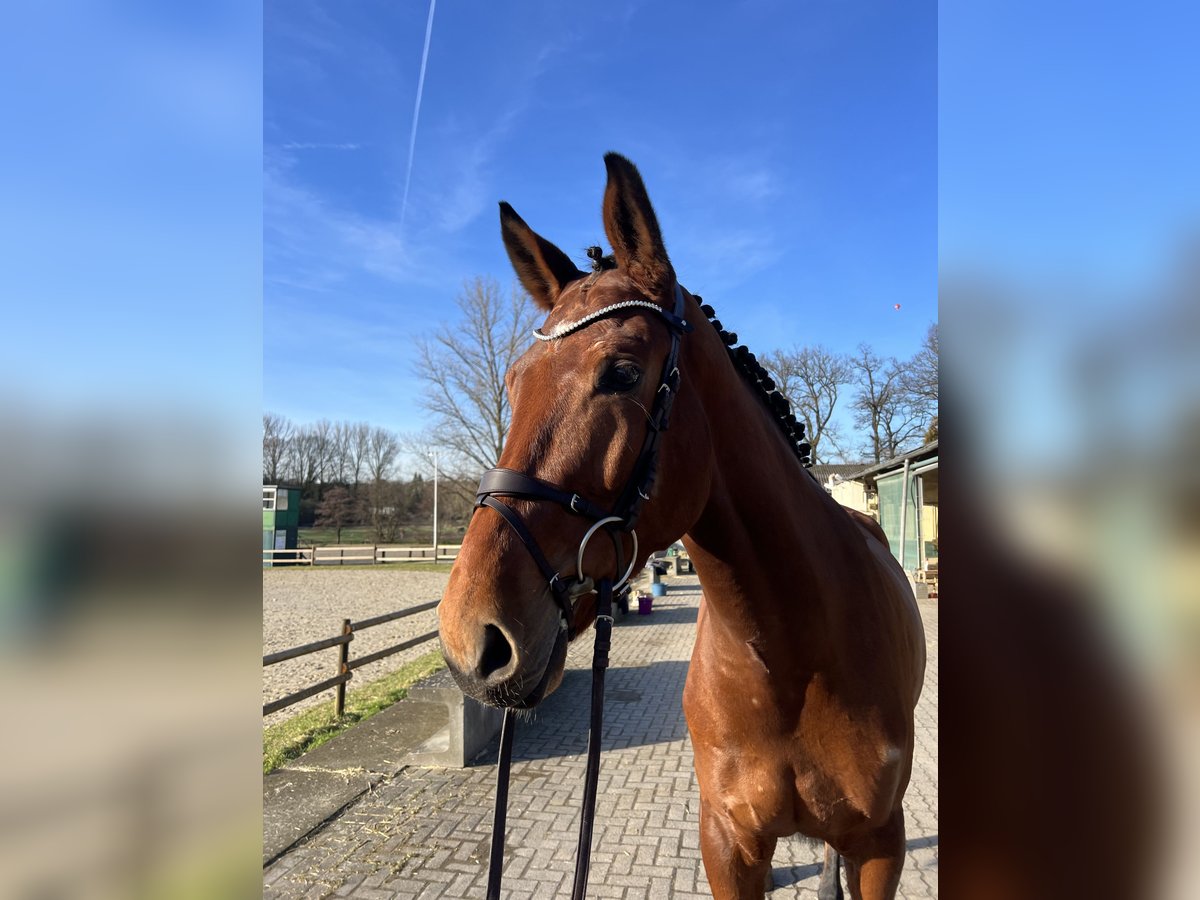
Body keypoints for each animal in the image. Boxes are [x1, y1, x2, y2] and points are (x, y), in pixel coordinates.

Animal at [439, 157, 926, 900]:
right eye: (516, 381)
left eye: (621, 372)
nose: (471, 637)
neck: (792, 655)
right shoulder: (727, 844)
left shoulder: (881, 845)